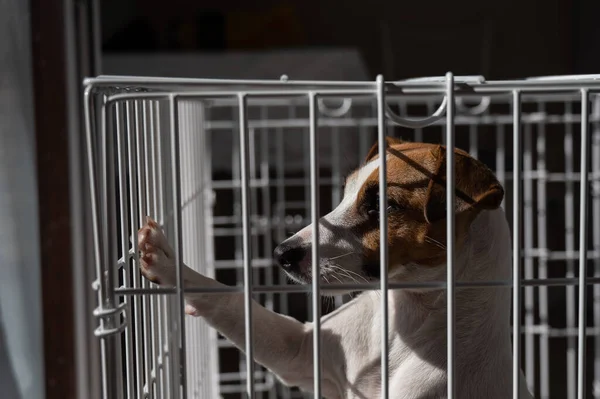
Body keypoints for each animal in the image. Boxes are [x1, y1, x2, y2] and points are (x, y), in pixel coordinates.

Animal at [137, 138, 536, 399]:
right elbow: (234, 303)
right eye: (345, 194)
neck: (403, 324)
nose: (282, 253)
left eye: (384, 206)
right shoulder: (299, 351)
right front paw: (171, 264)